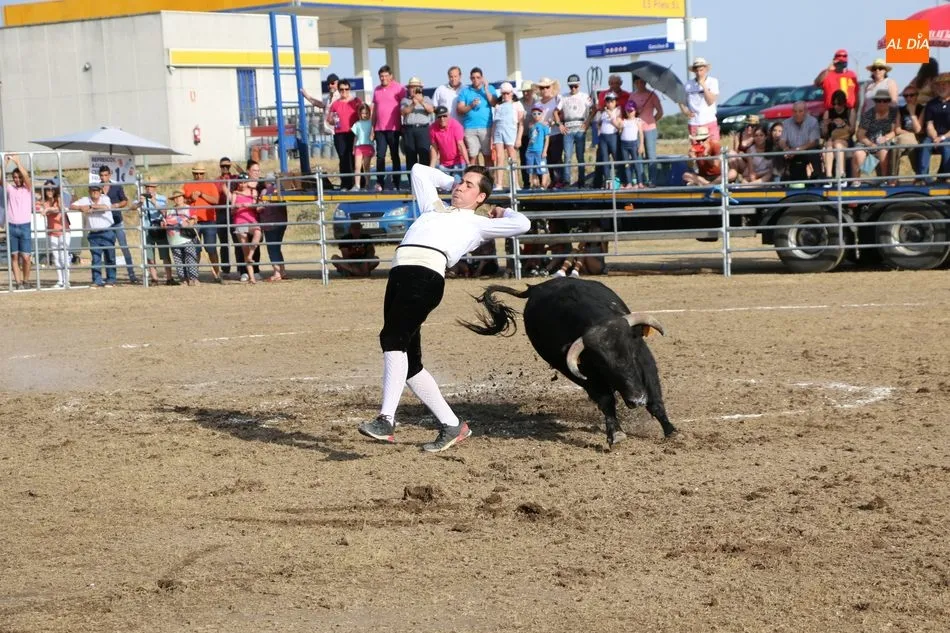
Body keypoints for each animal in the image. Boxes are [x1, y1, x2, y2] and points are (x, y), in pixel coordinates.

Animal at [459, 277, 676, 446]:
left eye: (631, 351)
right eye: (602, 364)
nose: (637, 399)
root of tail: (536, 287)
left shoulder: (645, 362)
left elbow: (655, 397)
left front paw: (671, 430)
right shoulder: (583, 376)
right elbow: (606, 400)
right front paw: (616, 433)